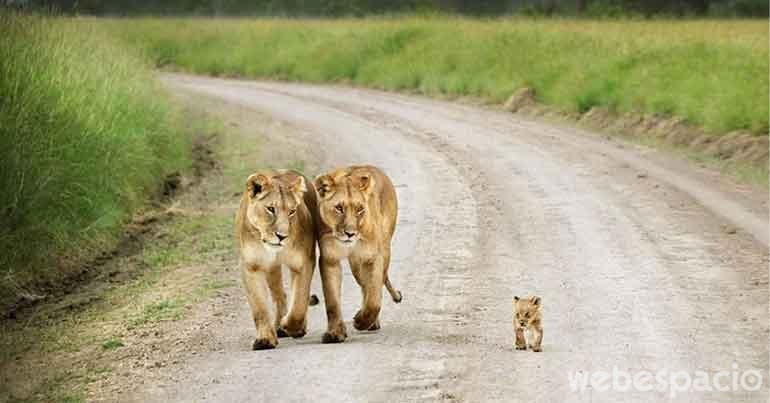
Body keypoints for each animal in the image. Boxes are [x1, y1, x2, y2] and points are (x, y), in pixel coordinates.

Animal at [236, 170, 316, 350]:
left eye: (292, 211)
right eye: (271, 209)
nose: (282, 236)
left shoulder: (303, 262)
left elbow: (299, 301)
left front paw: (292, 326)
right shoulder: (251, 266)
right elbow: (259, 307)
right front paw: (265, 339)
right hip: (272, 268)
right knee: (280, 294)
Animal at [314, 165, 402, 344]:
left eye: (360, 209)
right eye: (339, 208)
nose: (350, 233)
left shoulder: (372, 256)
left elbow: (374, 299)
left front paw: (361, 322)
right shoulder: (329, 258)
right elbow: (332, 301)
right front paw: (335, 333)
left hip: (384, 250)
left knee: (375, 285)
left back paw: (371, 322)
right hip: (355, 263)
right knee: (364, 286)